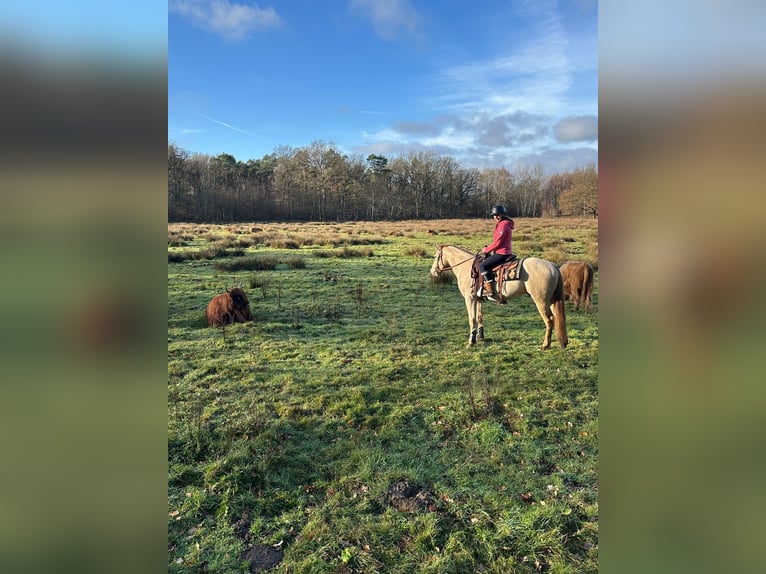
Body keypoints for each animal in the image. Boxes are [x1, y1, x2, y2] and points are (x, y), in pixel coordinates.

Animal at [430, 244, 568, 349]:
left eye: (436, 257)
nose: (433, 272)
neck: (467, 268)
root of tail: (552, 265)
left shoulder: (470, 299)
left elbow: (472, 319)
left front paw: (471, 341)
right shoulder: (478, 299)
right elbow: (479, 317)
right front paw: (480, 337)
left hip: (541, 301)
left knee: (549, 320)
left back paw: (545, 345)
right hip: (551, 300)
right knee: (556, 318)